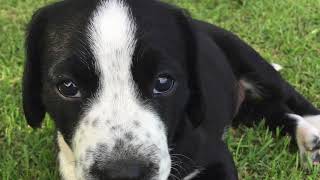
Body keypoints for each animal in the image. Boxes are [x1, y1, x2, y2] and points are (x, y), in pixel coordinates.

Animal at [22, 0, 320, 179]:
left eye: (163, 82)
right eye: (67, 87)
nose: (124, 173)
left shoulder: (217, 158)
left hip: (254, 64)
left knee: (292, 98)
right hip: (247, 109)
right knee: (275, 114)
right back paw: (307, 141)